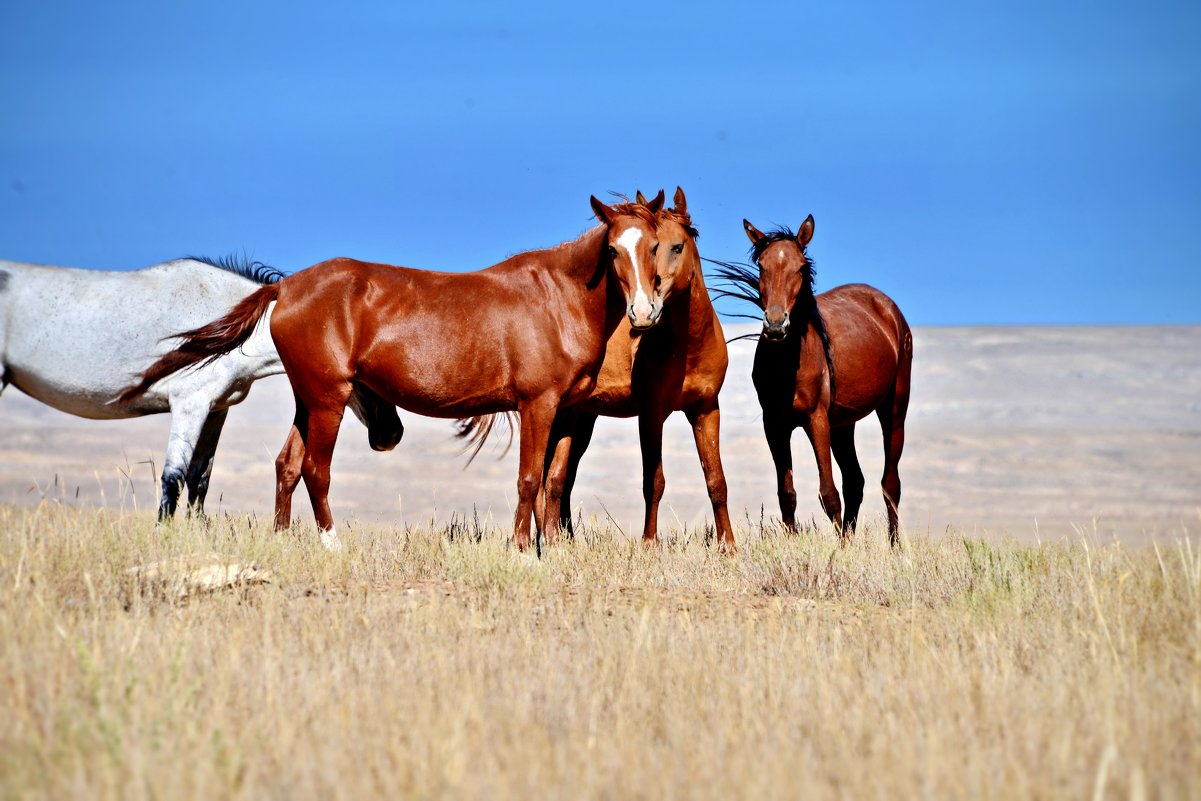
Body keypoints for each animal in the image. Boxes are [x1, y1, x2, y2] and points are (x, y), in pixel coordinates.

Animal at [120, 194, 662, 552]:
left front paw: (554, 550)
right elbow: (530, 479)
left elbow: (554, 481)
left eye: (658, 246)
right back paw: (331, 543)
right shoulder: (538, 405)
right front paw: (524, 553)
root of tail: (287, 286)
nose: (643, 311)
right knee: (315, 470)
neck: (557, 298)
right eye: (614, 250)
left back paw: (283, 540)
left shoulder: (567, 411)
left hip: (307, 399)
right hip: (329, 399)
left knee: (287, 465)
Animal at [710, 212, 907, 545]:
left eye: (801, 267)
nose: (776, 324)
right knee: (855, 481)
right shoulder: (775, 425)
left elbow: (829, 493)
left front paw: (837, 551)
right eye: (761, 266)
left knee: (889, 482)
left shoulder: (817, 420)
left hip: (893, 410)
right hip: (843, 425)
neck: (788, 365)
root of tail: (886, 307)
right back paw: (849, 539)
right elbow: (786, 493)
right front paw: (796, 544)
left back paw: (893, 547)